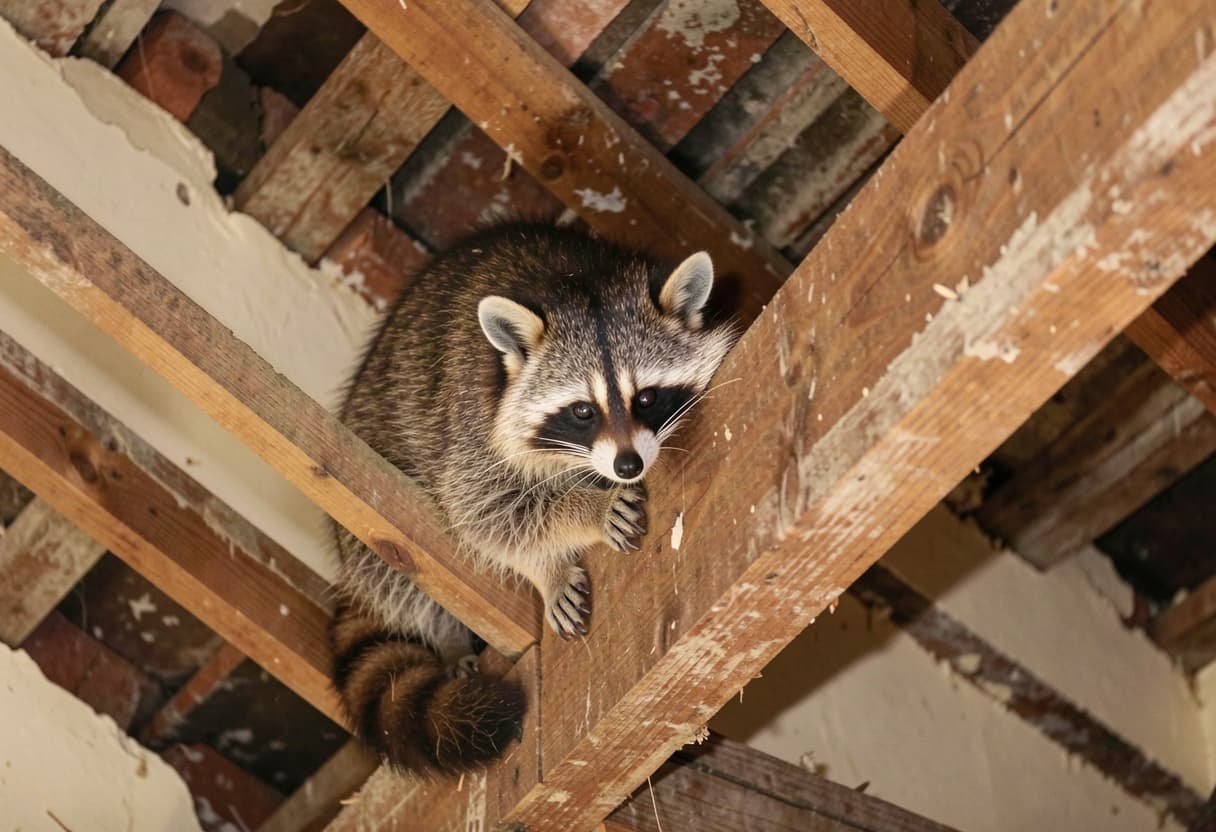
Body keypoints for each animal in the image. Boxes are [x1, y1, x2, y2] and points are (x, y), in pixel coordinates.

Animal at [331, 222, 736, 775]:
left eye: (647, 397)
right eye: (583, 411)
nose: (627, 466)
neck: (579, 280)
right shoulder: (469, 421)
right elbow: (486, 512)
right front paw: (568, 536)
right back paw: (446, 633)